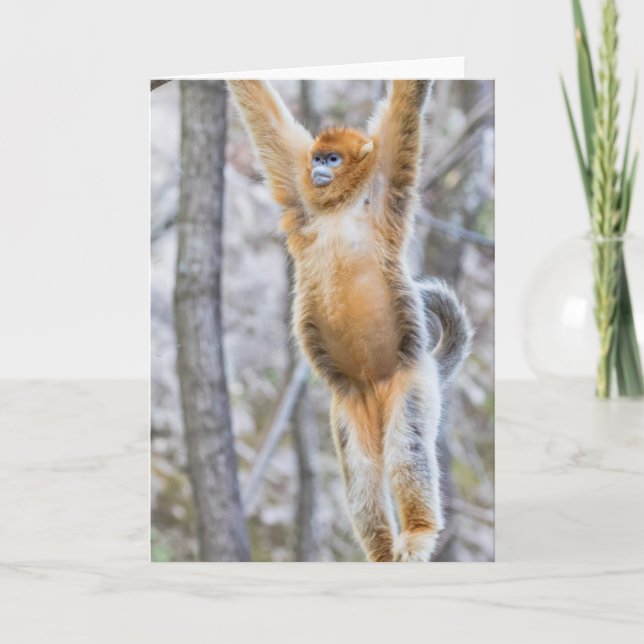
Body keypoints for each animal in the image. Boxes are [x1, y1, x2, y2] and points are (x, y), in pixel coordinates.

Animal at [227, 79, 472, 562]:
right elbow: (263, 115)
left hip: (413, 382)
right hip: (349, 401)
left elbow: (408, 99)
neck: (339, 204)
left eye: (333, 159)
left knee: (406, 450)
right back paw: (380, 552)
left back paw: (418, 532)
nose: (320, 169)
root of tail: (375, 386)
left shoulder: (389, 169)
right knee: (362, 476)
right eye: (318, 158)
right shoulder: (300, 185)